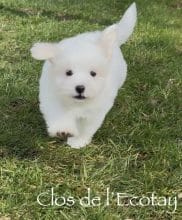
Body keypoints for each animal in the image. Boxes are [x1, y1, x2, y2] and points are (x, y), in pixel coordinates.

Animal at [30, 2, 136, 148]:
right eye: (68, 72)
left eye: (93, 73)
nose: (80, 88)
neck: (76, 104)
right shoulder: (51, 97)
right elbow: (58, 114)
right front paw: (63, 130)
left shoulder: (95, 112)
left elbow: (86, 127)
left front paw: (78, 141)